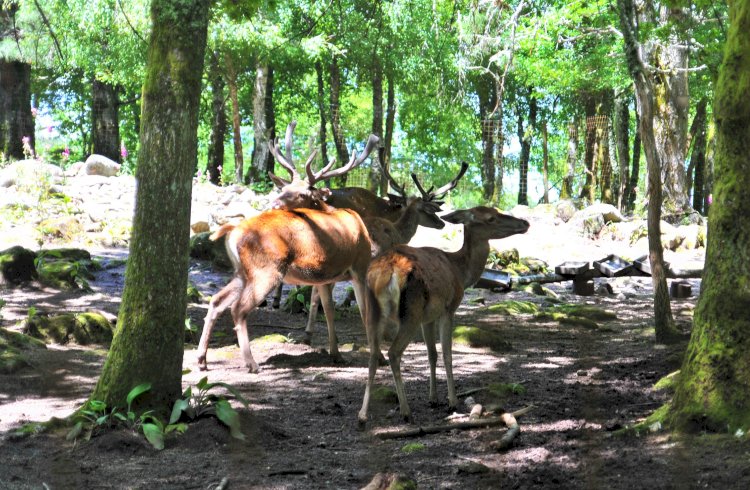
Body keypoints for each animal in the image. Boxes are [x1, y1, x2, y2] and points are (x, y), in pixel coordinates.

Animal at [197, 125, 378, 372]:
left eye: (302, 193)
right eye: (285, 188)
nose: (274, 203)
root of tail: (233, 230)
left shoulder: (323, 277)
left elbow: (327, 311)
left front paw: (336, 354)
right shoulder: (359, 266)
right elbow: (364, 311)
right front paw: (379, 358)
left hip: (242, 272)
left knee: (216, 301)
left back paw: (202, 360)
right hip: (267, 269)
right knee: (238, 309)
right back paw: (251, 363)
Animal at [356, 205, 528, 424]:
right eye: (491, 217)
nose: (525, 223)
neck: (460, 272)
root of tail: (387, 271)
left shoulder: (427, 318)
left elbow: (432, 354)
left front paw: (433, 398)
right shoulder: (448, 308)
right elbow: (447, 353)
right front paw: (452, 401)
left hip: (373, 309)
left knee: (372, 355)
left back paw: (362, 414)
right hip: (410, 311)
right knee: (393, 353)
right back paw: (405, 410)